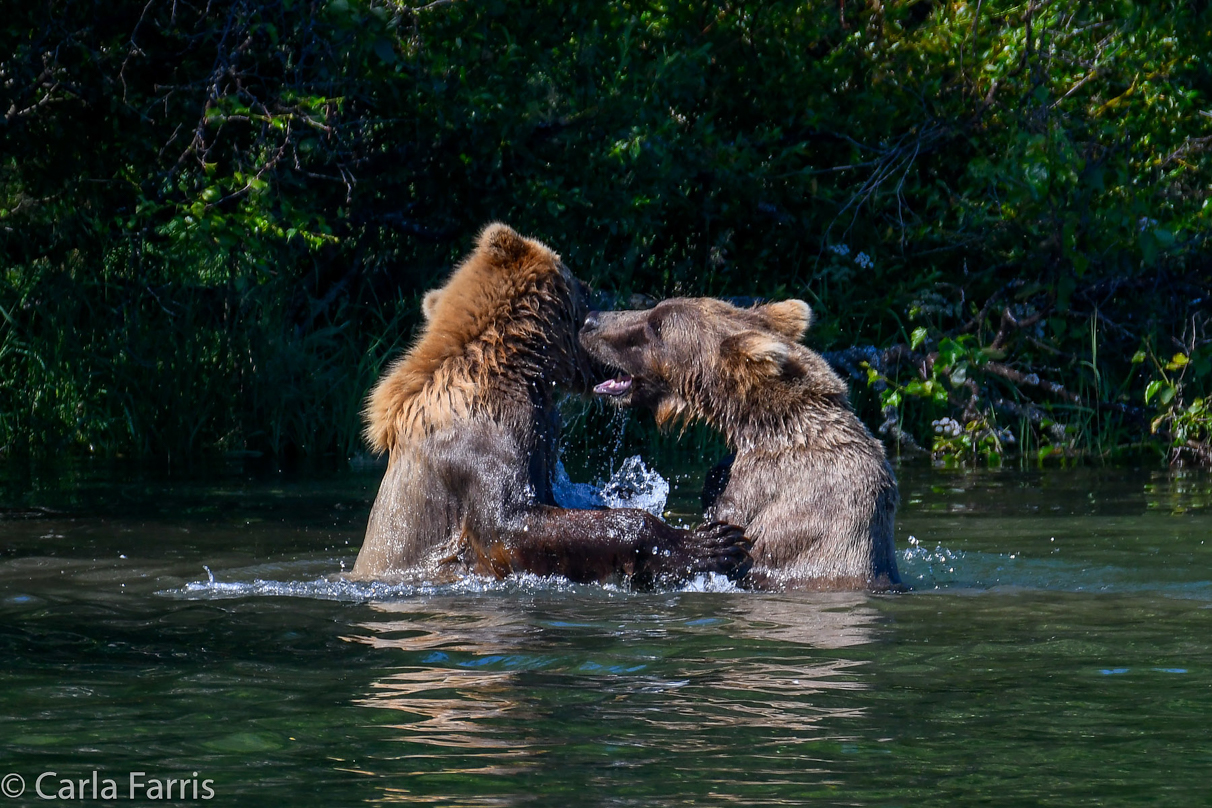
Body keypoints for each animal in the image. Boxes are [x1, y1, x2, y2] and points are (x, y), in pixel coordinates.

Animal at [346, 224, 751, 583]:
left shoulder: (540, 431)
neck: (519, 366)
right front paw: (708, 542)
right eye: (586, 288)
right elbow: (509, 522)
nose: (601, 313)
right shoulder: (482, 440)